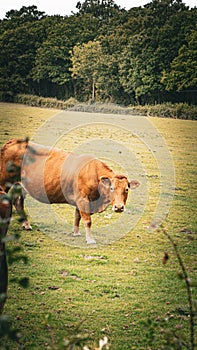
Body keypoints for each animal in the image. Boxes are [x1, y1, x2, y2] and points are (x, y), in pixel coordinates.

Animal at [0, 139, 139, 243]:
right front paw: (90, 239)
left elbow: (77, 216)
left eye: (127, 189)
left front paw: (76, 232)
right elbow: (87, 220)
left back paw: (26, 224)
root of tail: (12, 142)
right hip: (4, 182)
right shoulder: (83, 199)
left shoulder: (80, 201)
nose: (119, 207)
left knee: (18, 202)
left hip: (20, 186)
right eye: (112, 188)